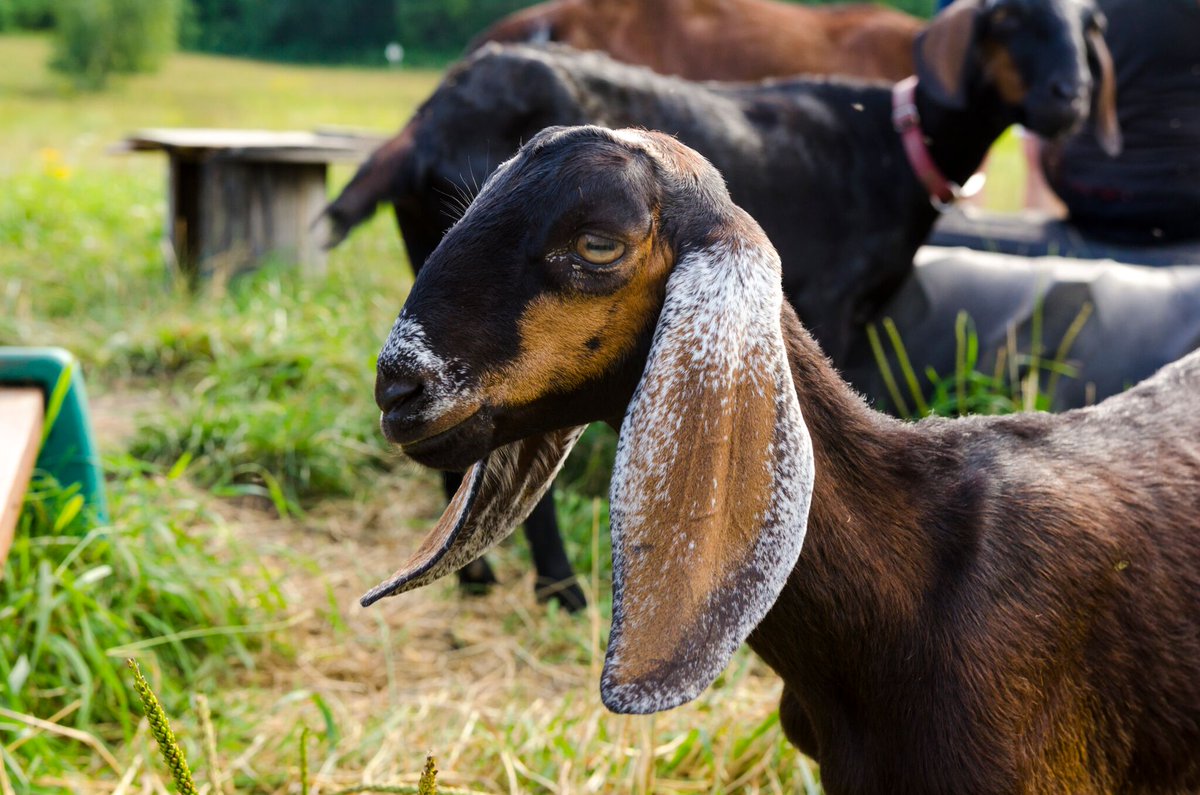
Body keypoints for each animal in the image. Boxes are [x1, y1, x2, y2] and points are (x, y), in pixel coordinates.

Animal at [329, 0, 1121, 607]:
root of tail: (424, 124)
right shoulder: (832, 299)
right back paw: (560, 587)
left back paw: (477, 578)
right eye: (1008, 18)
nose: (1070, 98)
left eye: (1087, 28)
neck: (892, 146)